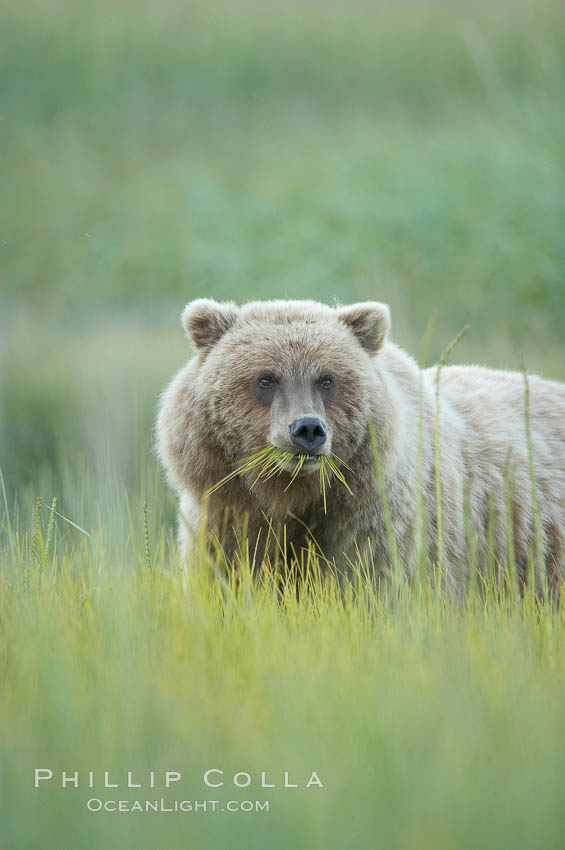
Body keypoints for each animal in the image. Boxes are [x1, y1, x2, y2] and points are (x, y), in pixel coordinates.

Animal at [156, 296, 564, 588]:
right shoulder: (227, 523)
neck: (292, 499)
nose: (307, 429)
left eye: (326, 378)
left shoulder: (380, 531)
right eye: (266, 378)